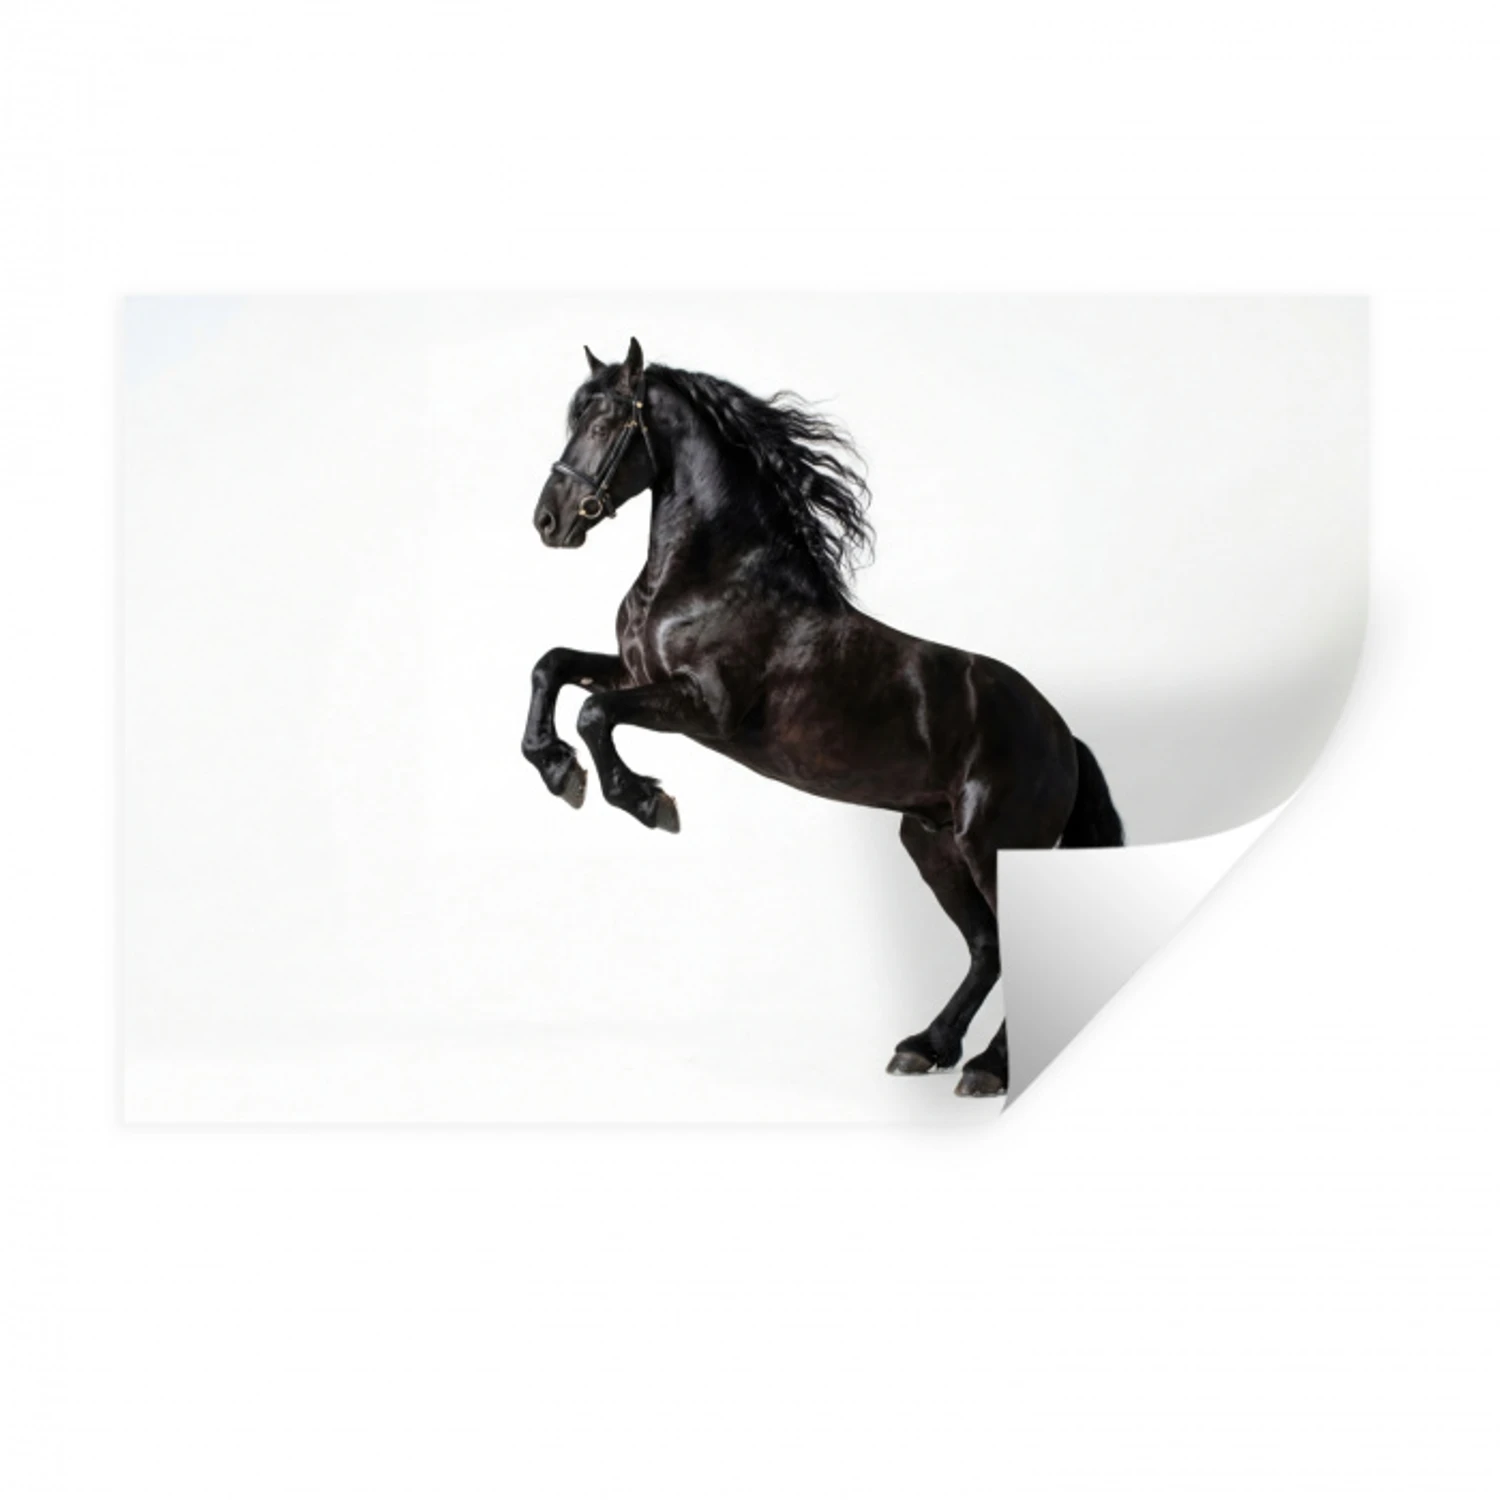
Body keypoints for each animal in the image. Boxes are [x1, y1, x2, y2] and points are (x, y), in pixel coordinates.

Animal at [524, 338, 1124, 1097]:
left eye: (605, 422)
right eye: (576, 416)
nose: (549, 520)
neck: (713, 576)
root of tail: (1064, 737)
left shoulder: (703, 707)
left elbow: (595, 712)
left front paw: (646, 801)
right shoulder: (637, 674)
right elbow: (552, 667)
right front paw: (557, 771)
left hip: (994, 846)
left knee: (1008, 944)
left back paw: (988, 1069)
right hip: (931, 843)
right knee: (986, 947)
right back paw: (925, 1048)